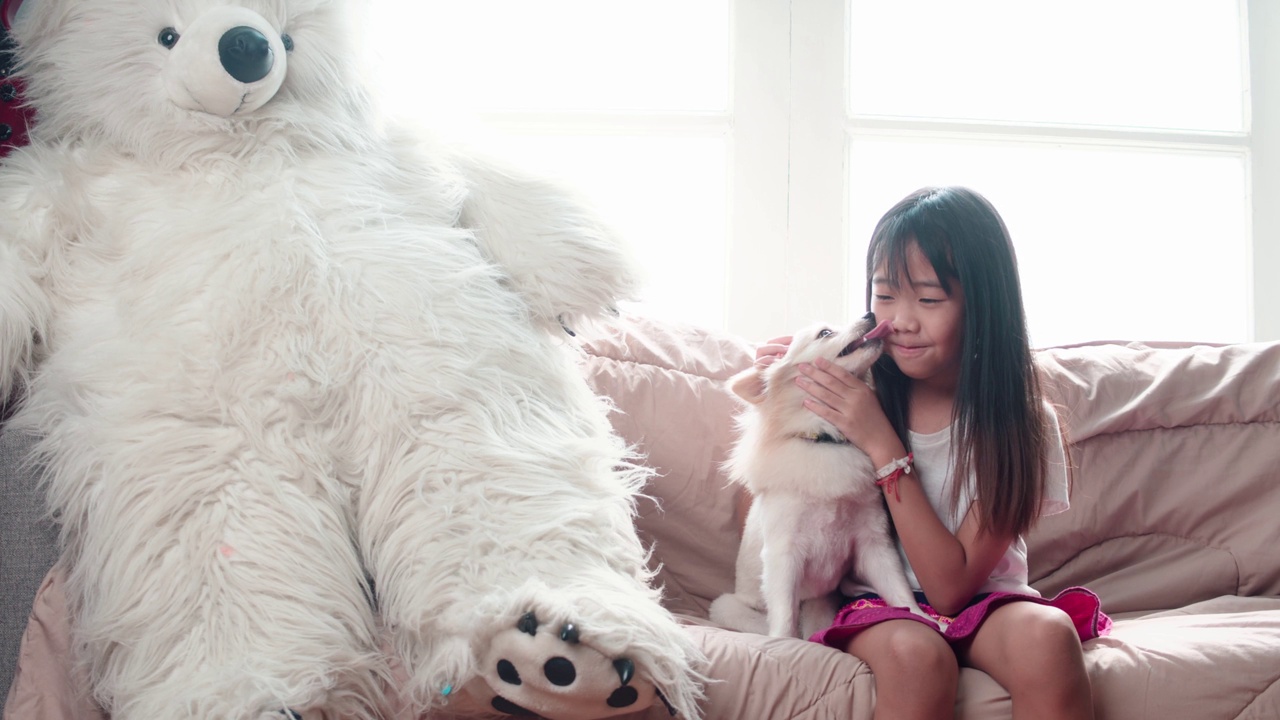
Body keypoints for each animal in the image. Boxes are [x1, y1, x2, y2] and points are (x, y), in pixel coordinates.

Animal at [711, 313, 931, 632]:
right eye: (825, 333)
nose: (869, 314)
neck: (826, 440)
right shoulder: (784, 556)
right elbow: (784, 619)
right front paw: (783, 640)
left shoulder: (874, 544)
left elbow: (899, 591)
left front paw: (926, 619)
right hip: (729, 608)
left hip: (822, 607)